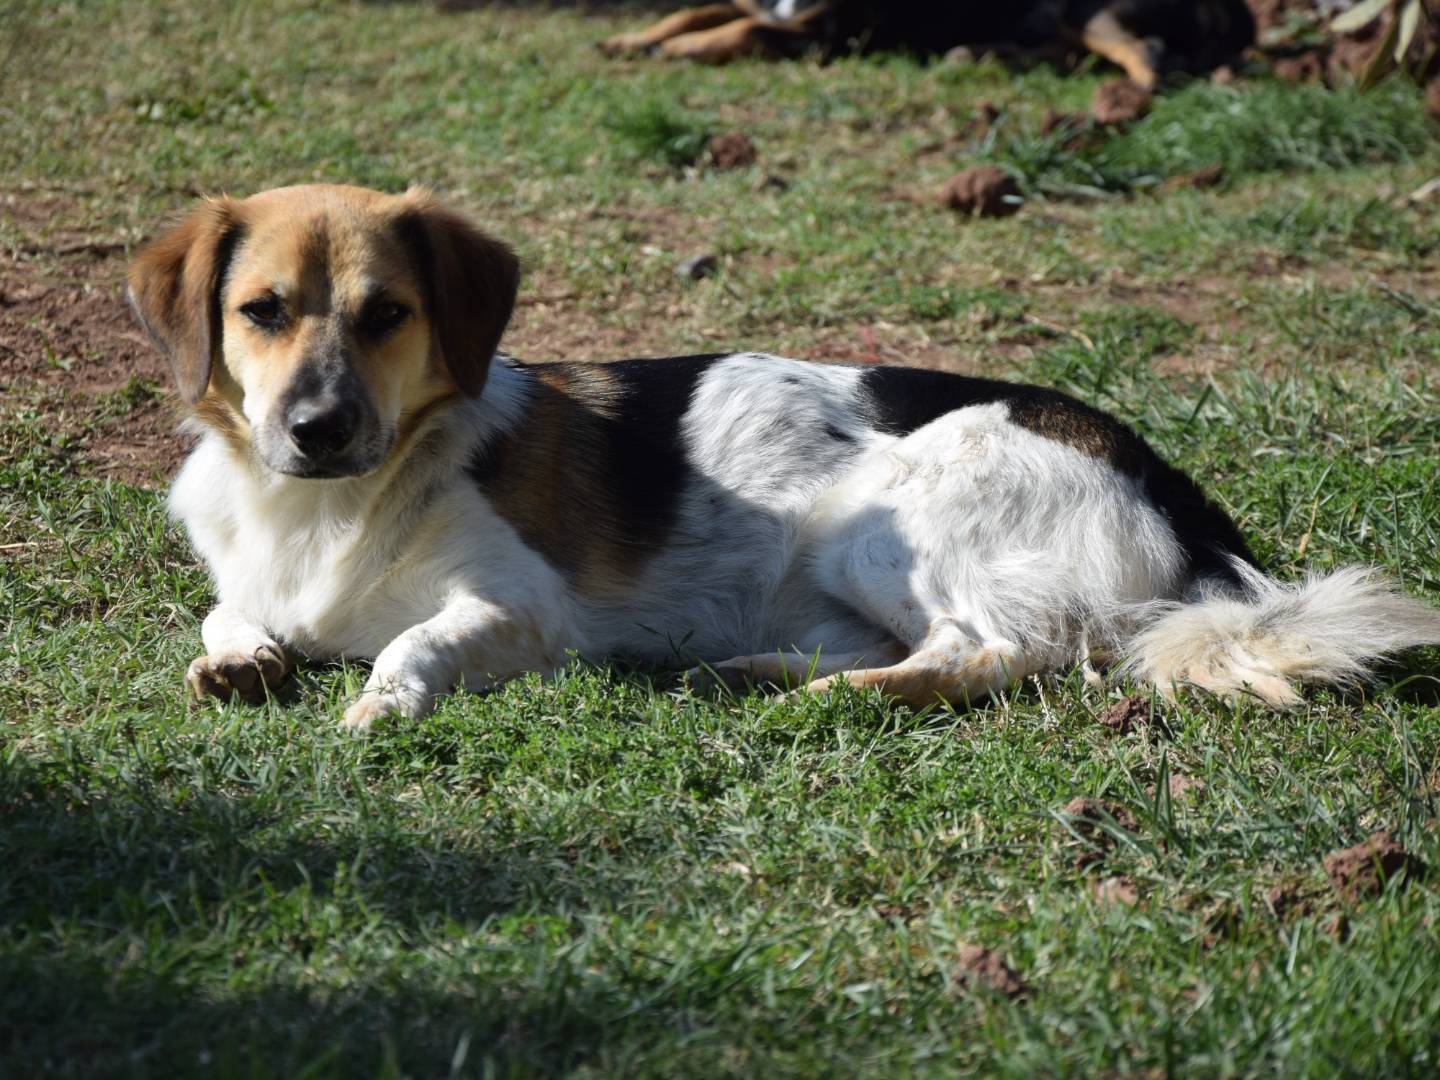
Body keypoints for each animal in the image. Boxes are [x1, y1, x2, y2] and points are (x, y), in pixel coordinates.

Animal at [132, 185, 1440, 731]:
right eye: (262, 312)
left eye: (388, 315)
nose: (316, 429)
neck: (332, 504)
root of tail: (1172, 485)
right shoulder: (250, 578)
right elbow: (224, 615)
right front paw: (242, 657)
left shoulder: (519, 608)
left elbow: (414, 641)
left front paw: (380, 701)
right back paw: (754, 671)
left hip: (883, 517)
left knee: (998, 653)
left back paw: (812, 699)